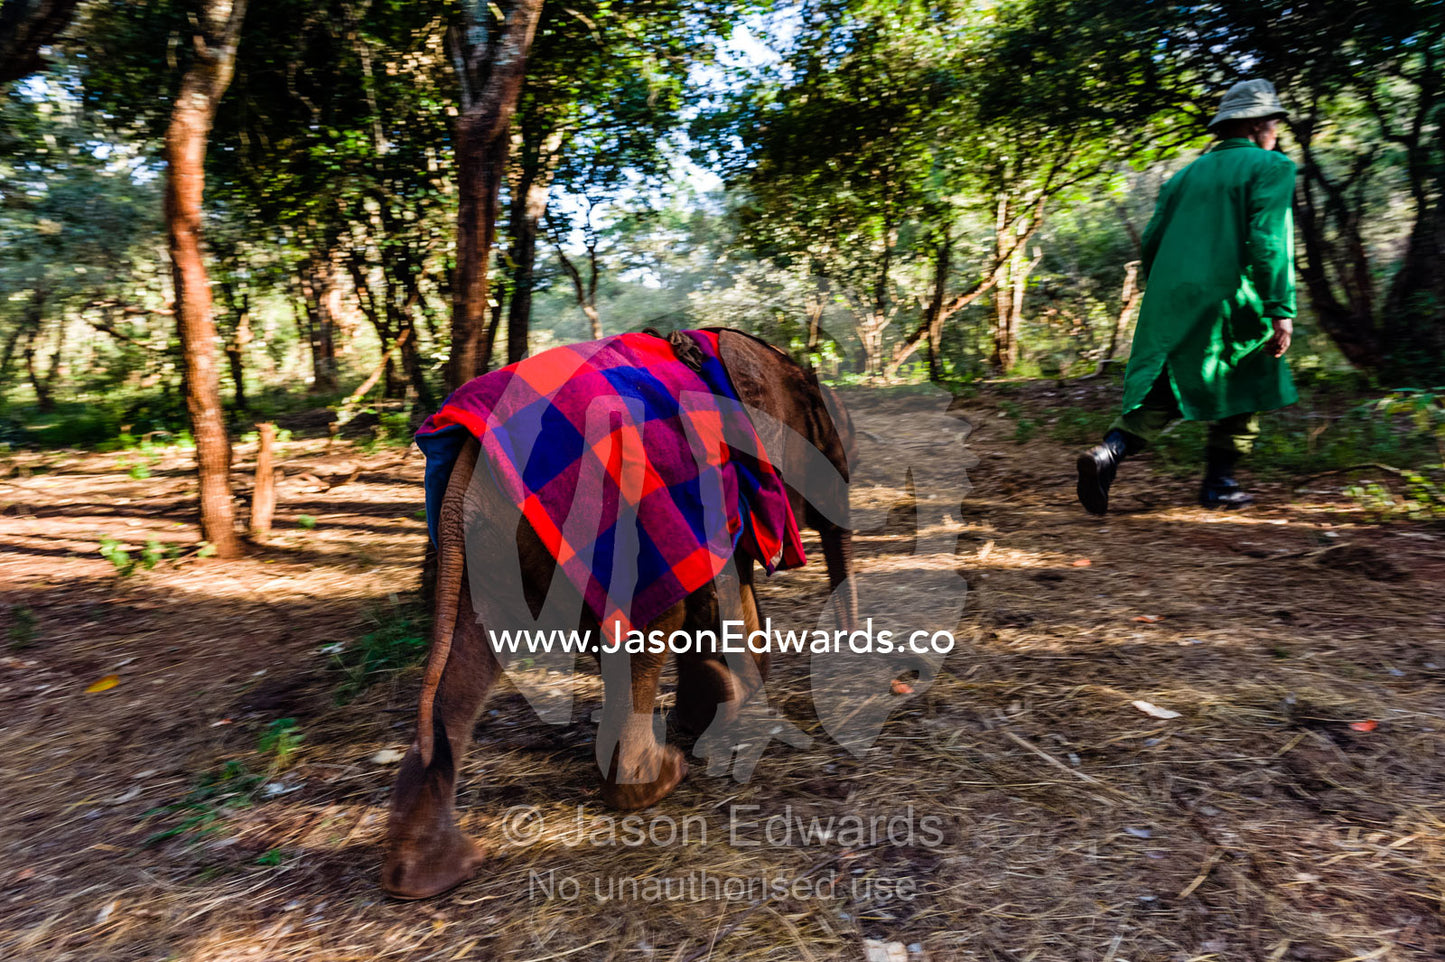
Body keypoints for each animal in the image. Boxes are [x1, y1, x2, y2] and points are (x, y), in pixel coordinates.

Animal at [381, 329, 856, 900]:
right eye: (832, 454)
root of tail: (461, 479)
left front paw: (710, 711)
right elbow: (722, 591)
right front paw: (730, 710)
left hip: (489, 539)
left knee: (469, 656)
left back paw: (428, 875)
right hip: (592, 515)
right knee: (649, 627)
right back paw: (656, 781)